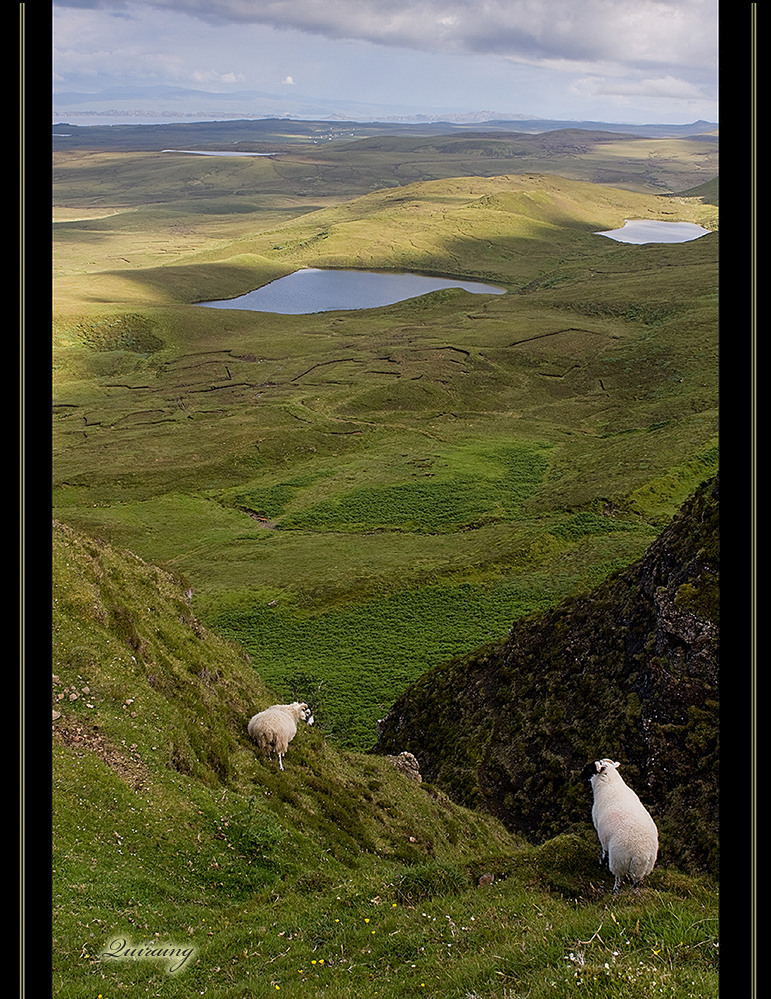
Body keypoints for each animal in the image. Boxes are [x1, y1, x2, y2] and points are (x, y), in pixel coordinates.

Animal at [584, 760, 660, 896]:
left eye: (591, 768)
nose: (582, 775)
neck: (609, 782)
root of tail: (641, 854)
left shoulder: (602, 834)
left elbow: (604, 850)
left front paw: (601, 861)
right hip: (641, 869)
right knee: (636, 883)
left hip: (619, 861)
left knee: (619, 878)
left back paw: (615, 891)